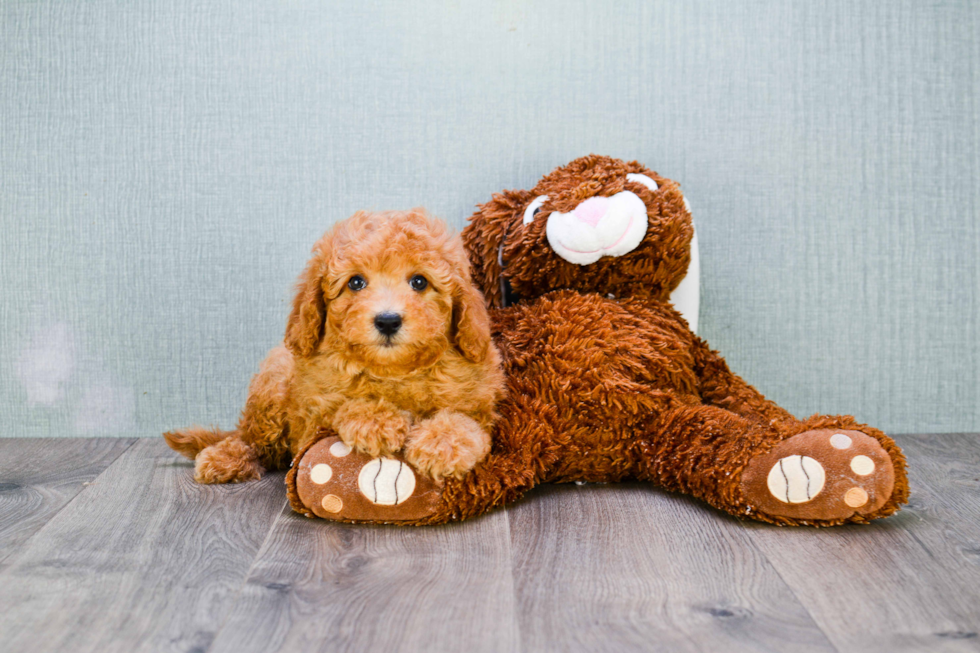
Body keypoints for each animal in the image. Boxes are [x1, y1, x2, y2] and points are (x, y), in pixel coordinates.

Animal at [164, 209, 502, 484]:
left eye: (419, 282)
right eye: (355, 283)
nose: (388, 320)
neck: (392, 370)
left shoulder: (479, 405)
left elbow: (464, 421)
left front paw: (441, 444)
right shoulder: (311, 422)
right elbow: (342, 405)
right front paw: (375, 421)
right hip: (272, 388)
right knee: (252, 440)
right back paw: (225, 457)